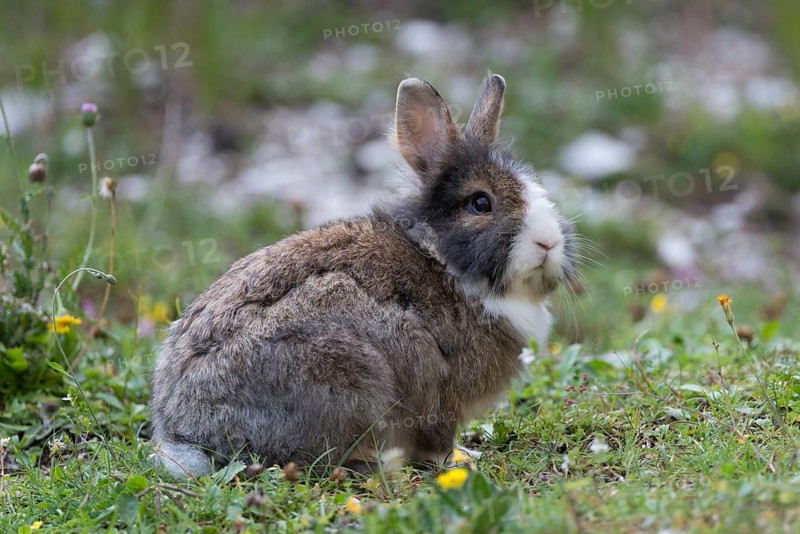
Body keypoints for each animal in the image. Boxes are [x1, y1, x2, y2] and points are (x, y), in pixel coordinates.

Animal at [150, 72, 578, 479]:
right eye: (480, 203)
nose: (548, 242)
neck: (445, 262)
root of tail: (188, 435)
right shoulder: (440, 395)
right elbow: (438, 438)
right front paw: (459, 460)